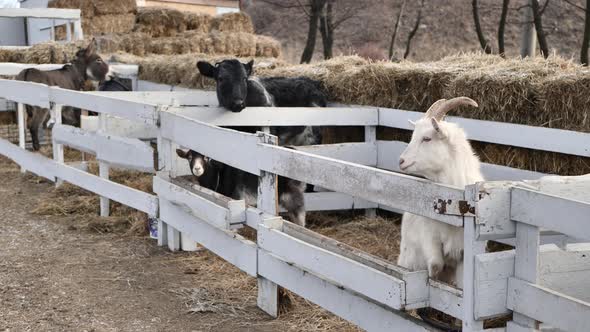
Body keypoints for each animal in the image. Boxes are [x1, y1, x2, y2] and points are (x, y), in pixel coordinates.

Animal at [176, 149, 308, 227]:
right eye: (189, 157)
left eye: (206, 158)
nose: (197, 169)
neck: (218, 173)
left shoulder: (235, 198)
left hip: (291, 195)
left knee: (300, 214)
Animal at [398, 96, 486, 288]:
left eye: (427, 138)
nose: (401, 161)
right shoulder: (430, 237)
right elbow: (435, 265)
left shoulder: (464, 253)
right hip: (408, 256)